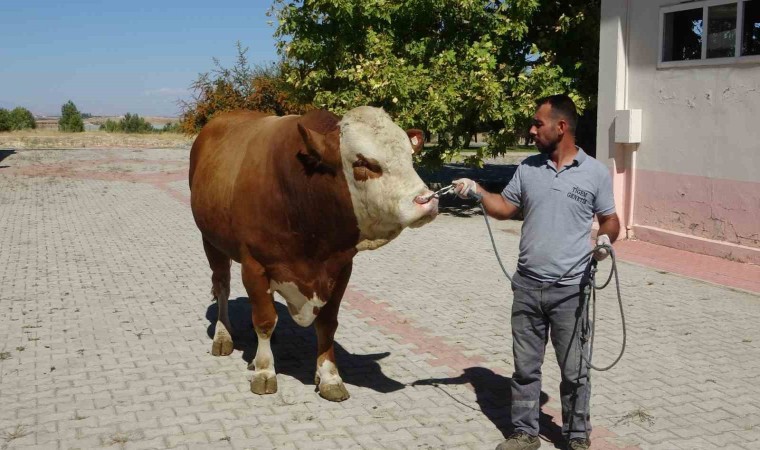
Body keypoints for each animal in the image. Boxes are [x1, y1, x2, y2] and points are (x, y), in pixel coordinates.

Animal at [189, 105, 440, 400]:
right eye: (363, 163)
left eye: (410, 157)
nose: (426, 200)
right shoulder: (254, 264)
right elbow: (264, 320)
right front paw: (264, 371)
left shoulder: (340, 268)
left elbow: (327, 324)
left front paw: (330, 376)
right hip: (211, 242)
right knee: (222, 287)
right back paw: (223, 335)